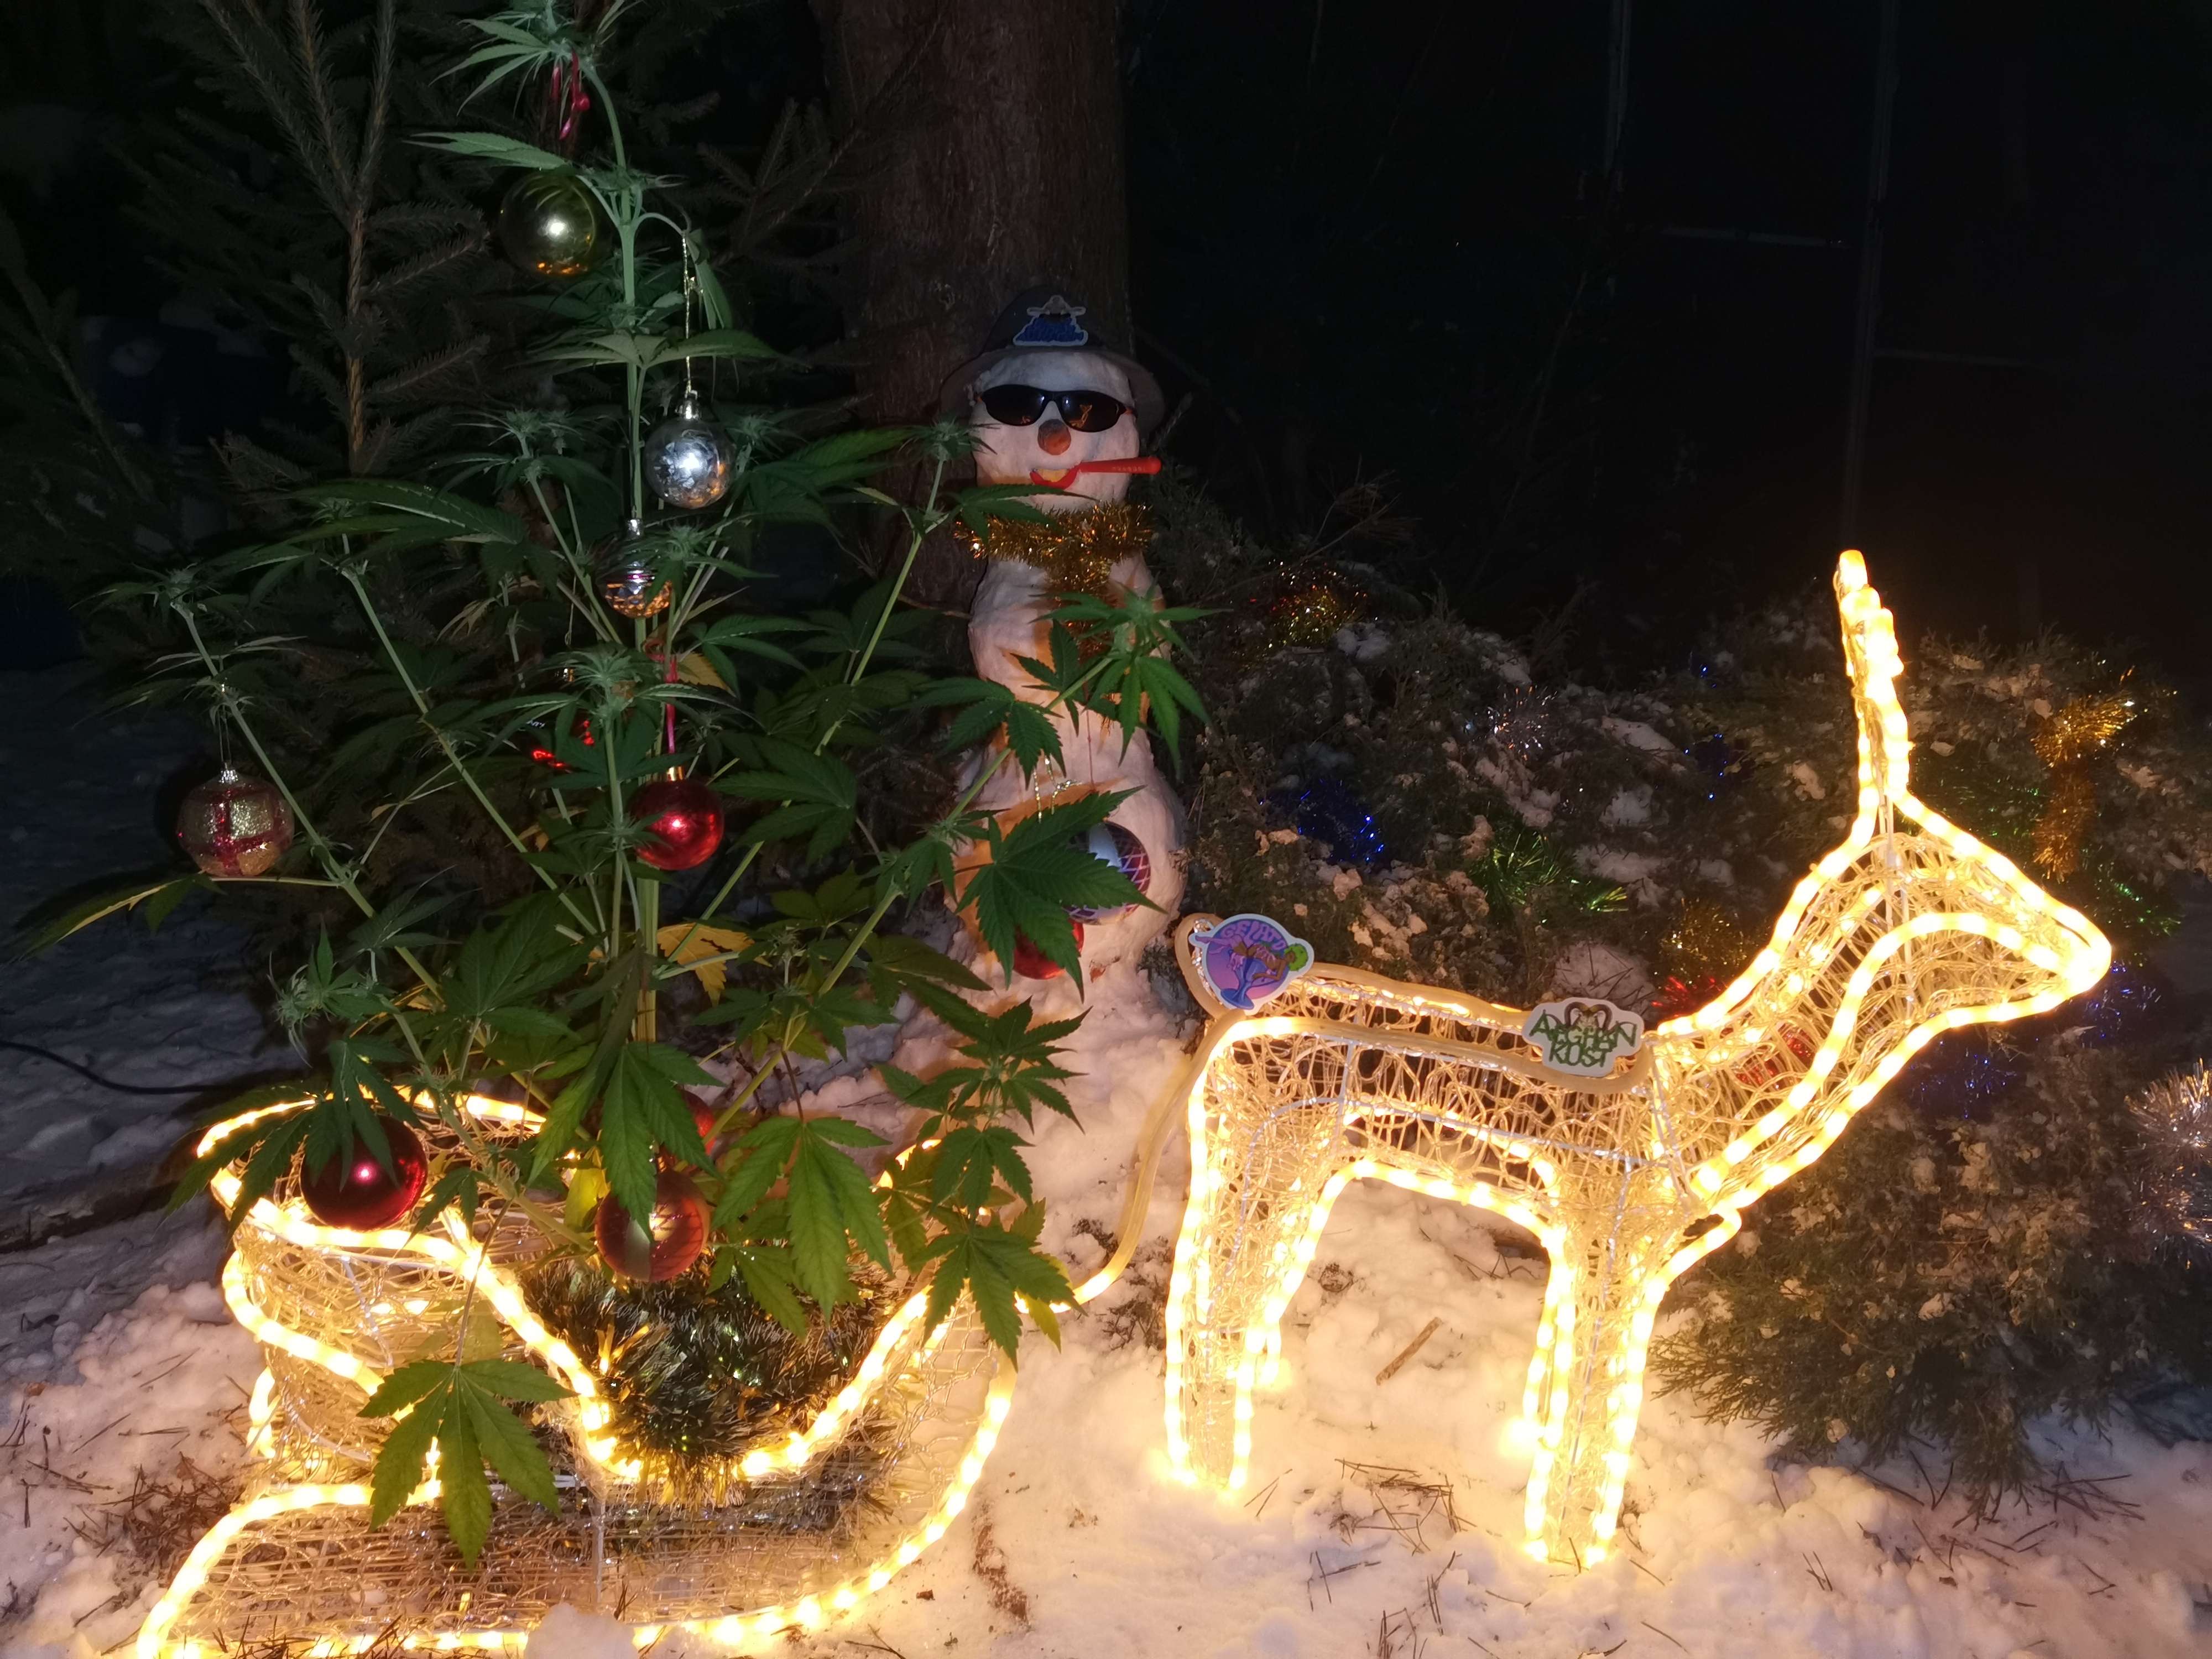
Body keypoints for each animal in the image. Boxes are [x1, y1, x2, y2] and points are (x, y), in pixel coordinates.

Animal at [1149, 551, 2110, 1568]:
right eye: (1968, 876)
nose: (2089, 951)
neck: (1702, 1105)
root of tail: (1223, 988)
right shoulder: (1620, 1254)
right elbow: (1596, 1410)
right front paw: (1569, 1556)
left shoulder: (1584, 1248)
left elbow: (1558, 1386)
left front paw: (1531, 1478)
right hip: (1263, 1164)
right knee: (1204, 1307)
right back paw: (1210, 1476)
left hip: (1308, 1175)